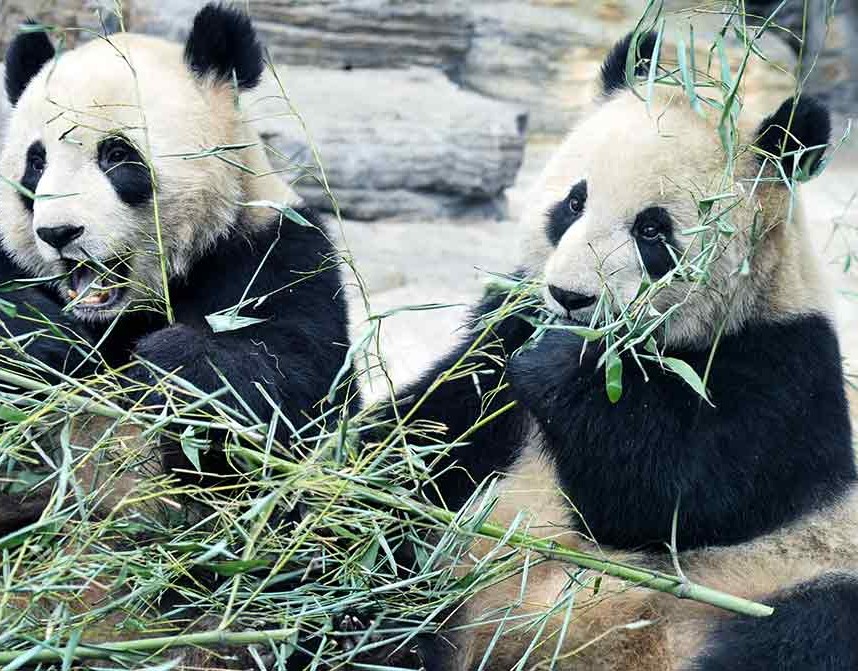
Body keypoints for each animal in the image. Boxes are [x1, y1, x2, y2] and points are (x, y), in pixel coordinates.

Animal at [0, 4, 350, 518]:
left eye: (117, 154)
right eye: (36, 163)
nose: (58, 232)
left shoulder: (278, 255)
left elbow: (294, 390)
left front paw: (172, 362)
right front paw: (43, 338)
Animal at [383, 32, 858, 671]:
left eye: (652, 231)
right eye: (573, 203)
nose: (570, 297)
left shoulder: (786, 365)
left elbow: (679, 496)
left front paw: (561, 366)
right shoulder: (503, 327)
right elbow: (430, 431)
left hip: (788, 575)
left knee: (808, 631)